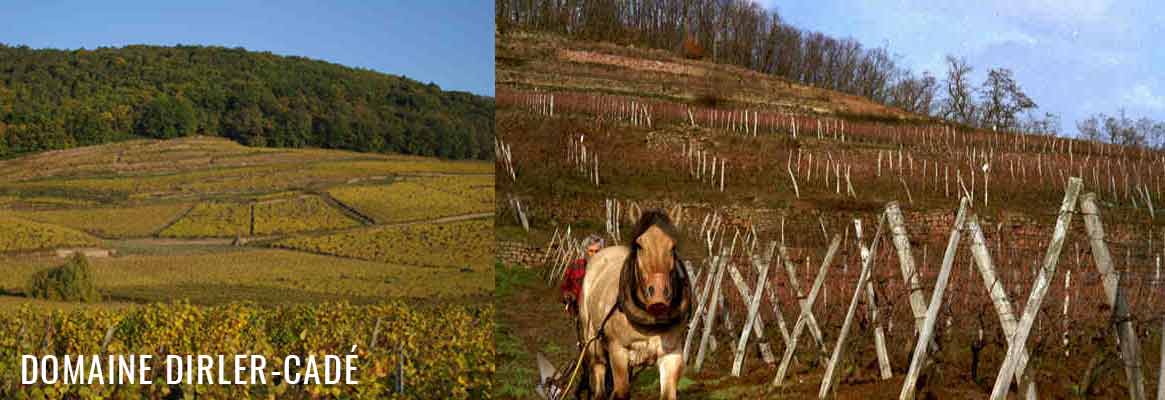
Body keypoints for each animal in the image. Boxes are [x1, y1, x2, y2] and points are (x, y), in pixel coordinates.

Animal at [575, 211, 685, 398]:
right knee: (599, 378)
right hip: (593, 342)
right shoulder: (618, 352)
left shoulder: (672, 355)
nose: (658, 298)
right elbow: (621, 392)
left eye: (673, 246)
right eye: (639, 246)